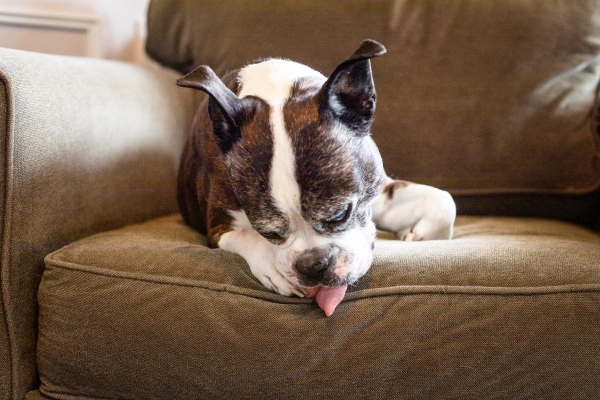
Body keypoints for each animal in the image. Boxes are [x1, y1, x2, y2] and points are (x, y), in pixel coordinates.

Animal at [176, 39, 458, 316]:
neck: (276, 90)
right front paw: (272, 264)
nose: (313, 264)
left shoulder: (377, 192)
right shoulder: (218, 227)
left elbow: (444, 199)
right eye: (268, 232)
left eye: (340, 215)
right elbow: (245, 235)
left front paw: (419, 234)